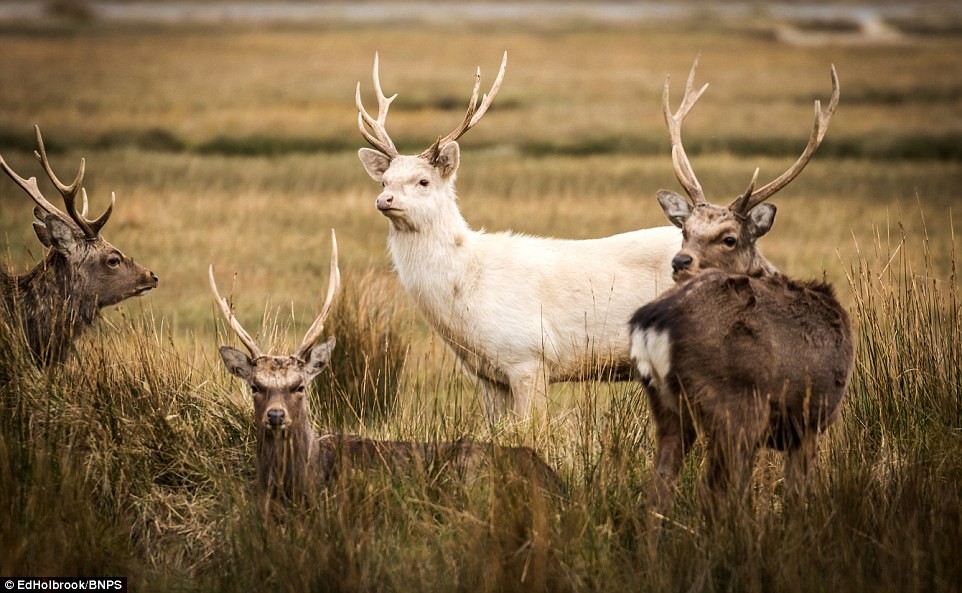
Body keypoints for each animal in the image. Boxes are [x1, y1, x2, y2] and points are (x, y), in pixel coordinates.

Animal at [356, 52, 680, 420]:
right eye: (384, 181)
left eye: (423, 181)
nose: (384, 200)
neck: (467, 290)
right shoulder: (488, 374)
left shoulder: (529, 356)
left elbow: (531, 426)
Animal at [628, 57, 852, 516]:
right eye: (685, 231)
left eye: (729, 237)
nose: (680, 261)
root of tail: (652, 324)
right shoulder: (811, 417)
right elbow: (796, 493)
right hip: (735, 407)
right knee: (714, 491)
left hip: (666, 406)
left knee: (660, 487)